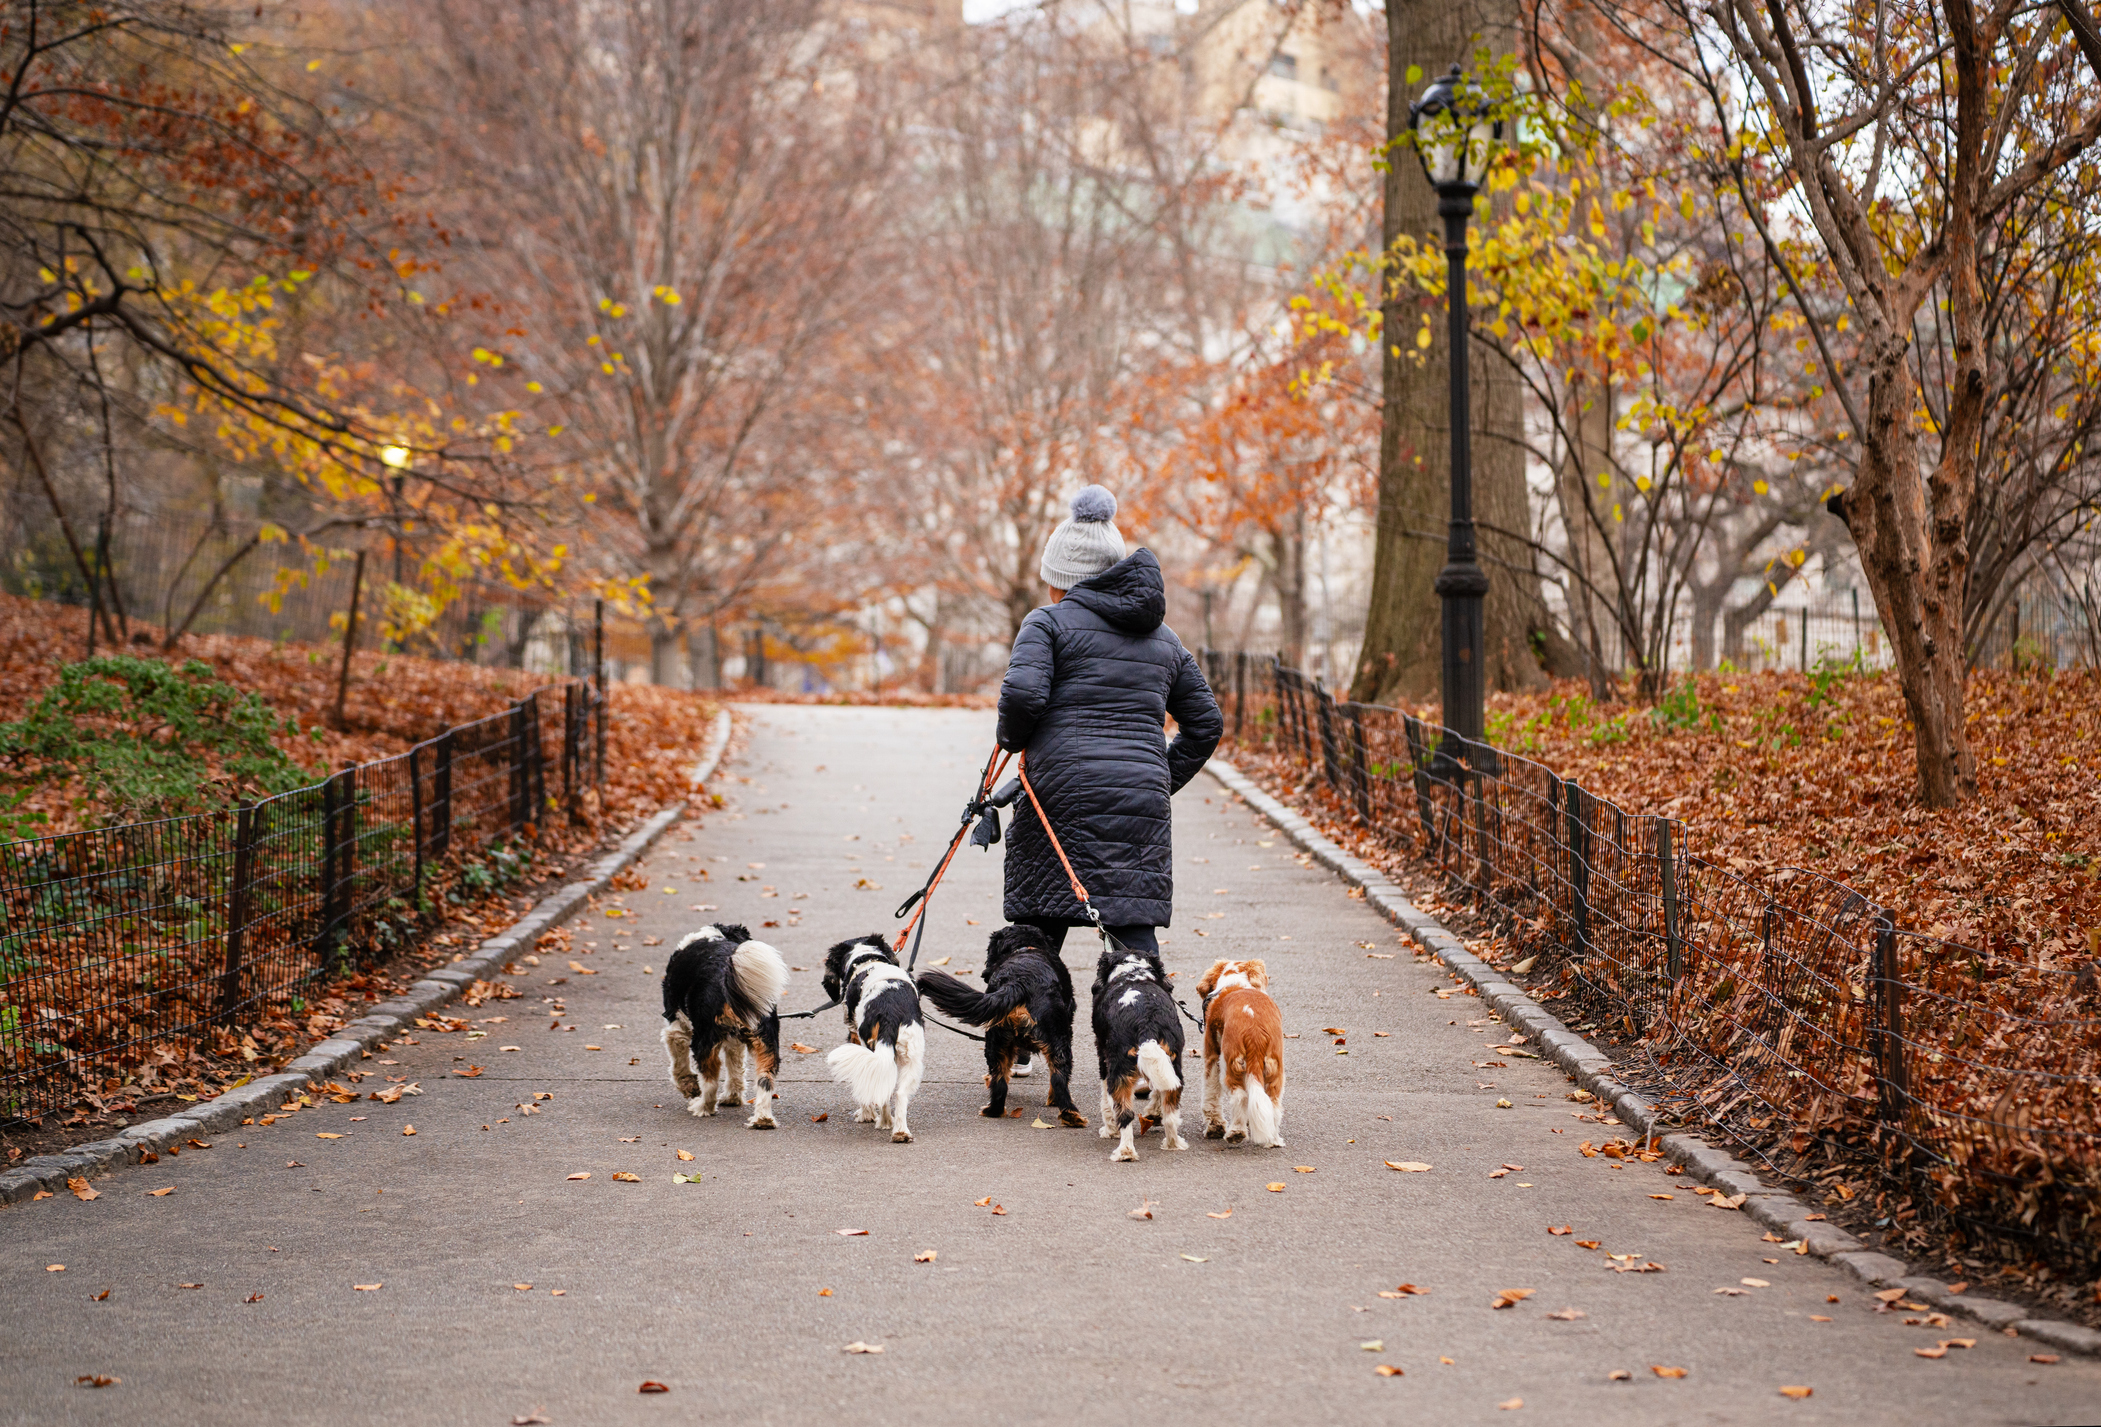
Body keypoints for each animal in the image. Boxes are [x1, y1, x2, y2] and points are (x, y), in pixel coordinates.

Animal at [655, 920, 789, 1134]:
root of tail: (725, 975)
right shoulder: (735, 1040)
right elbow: (736, 1068)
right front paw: (732, 1098)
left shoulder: (676, 1028)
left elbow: (679, 1066)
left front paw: (689, 1086)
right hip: (766, 1042)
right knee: (765, 1079)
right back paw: (763, 1120)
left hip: (703, 1038)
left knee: (710, 1079)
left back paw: (702, 1107)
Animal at [815, 933, 924, 1143]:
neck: (866, 959)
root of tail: (890, 1010)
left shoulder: (854, 1035)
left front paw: (866, 1115)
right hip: (911, 1055)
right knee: (898, 1092)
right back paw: (900, 1132)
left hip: (870, 1048)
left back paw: (884, 1122)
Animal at [916, 924, 1084, 1126]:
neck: (1024, 947)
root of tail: (1020, 981)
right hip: (1059, 1039)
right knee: (1059, 1080)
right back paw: (1070, 1114)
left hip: (997, 1042)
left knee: (1000, 1083)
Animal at [1092, 941, 1193, 1168]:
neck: (1132, 972)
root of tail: (1146, 1020)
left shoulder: (1103, 1058)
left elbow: (1106, 1103)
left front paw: (1108, 1130)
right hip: (1174, 1066)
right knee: (1170, 1113)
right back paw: (1173, 1144)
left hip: (1118, 1071)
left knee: (1125, 1115)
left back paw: (1125, 1152)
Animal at [1201, 958, 1277, 1151]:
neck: (1235, 982)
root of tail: (1254, 1027)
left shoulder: (1212, 1058)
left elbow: (1211, 1094)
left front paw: (1214, 1127)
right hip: (1274, 1067)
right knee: (1273, 1101)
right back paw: (1274, 1140)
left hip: (1230, 1063)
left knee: (1240, 1097)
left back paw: (1236, 1133)